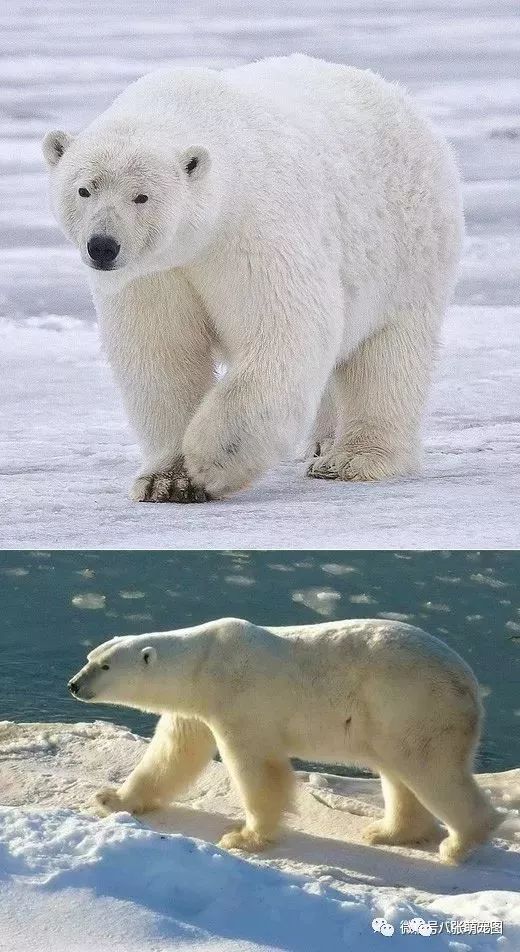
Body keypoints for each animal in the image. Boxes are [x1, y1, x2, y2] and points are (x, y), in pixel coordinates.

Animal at [41, 55, 464, 502]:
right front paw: (166, 480)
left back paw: (352, 458)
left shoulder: (253, 229)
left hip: (408, 249)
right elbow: (161, 353)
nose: (103, 246)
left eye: (141, 196)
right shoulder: (154, 273)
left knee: (388, 355)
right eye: (84, 189)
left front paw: (210, 461)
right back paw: (323, 443)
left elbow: (285, 329)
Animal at [69, 616, 500, 864]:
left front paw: (243, 837)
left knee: (431, 770)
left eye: (104, 666)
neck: (204, 661)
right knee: (398, 773)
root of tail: (471, 684)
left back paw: (459, 844)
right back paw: (388, 831)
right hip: (392, 718)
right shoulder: (196, 709)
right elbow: (172, 754)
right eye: (89, 657)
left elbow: (256, 768)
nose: (74, 685)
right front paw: (112, 799)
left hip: (415, 706)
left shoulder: (240, 699)